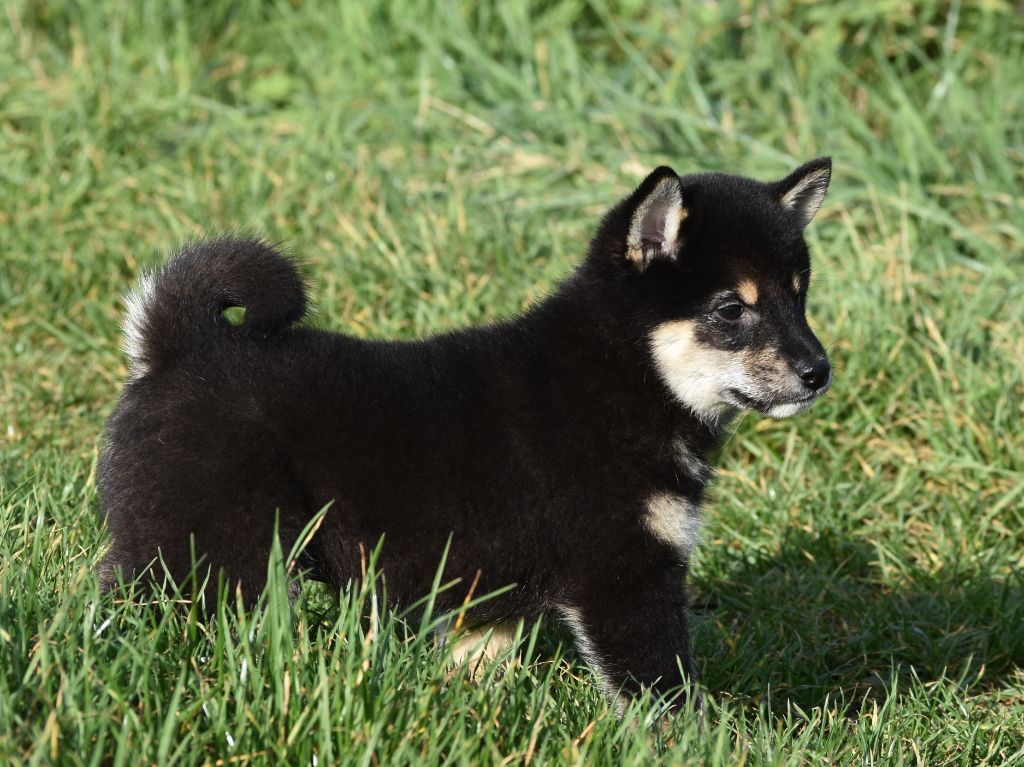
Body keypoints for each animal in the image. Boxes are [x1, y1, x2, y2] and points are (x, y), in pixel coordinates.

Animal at [98, 158, 833, 709]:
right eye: (731, 309)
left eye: (798, 295)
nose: (819, 370)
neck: (622, 376)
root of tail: (175, 349)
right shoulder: (625, 571)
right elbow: (663, 691)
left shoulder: (489, 591)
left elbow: (479, 661)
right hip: (213, 550)